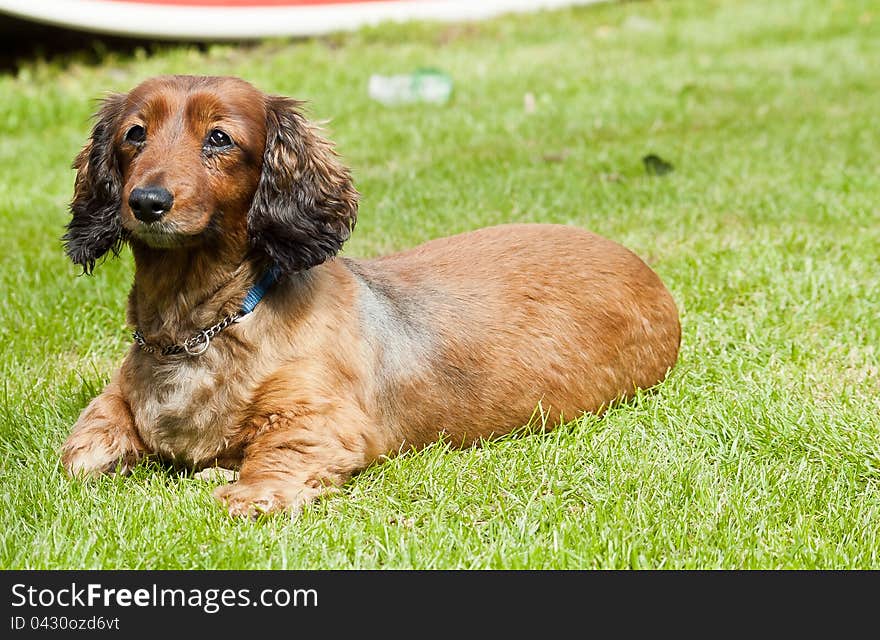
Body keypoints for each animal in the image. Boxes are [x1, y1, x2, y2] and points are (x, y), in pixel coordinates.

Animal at [60, 75, 680, 516]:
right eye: (135, 134)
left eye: (219, 138)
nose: (147, 202)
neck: (201, 328)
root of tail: (646, 272)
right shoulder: (116, 400)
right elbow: (82, 447)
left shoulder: (323, 420)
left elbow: (276, 455)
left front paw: (245, 489)